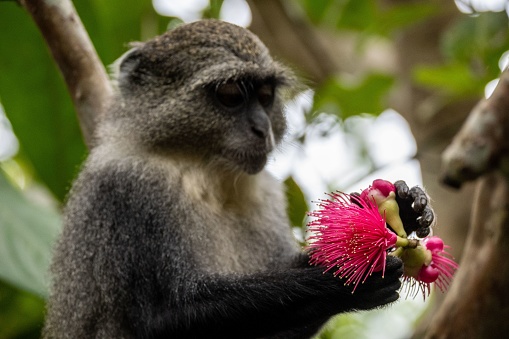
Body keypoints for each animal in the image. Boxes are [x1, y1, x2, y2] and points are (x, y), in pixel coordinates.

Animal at [44, 19, 432, 338]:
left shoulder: (266, 194)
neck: (205, 172)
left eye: (265, 96)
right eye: (230, 95)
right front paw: (334, 277)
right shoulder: (127, 188)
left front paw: (404, 206)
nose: (262, 129)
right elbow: (159, 319)